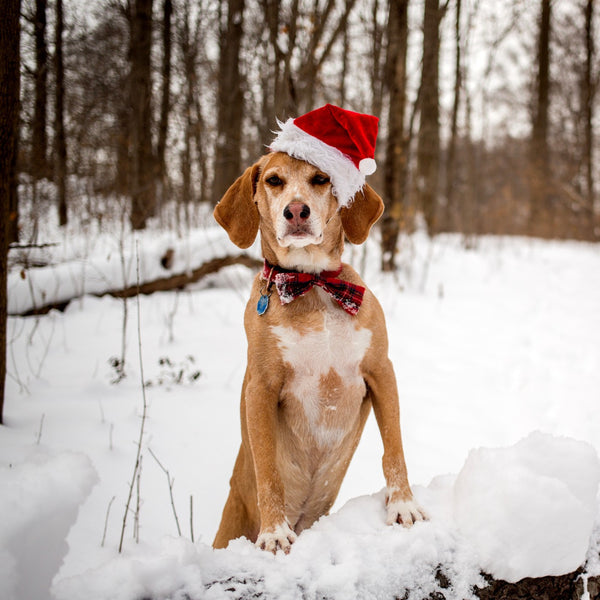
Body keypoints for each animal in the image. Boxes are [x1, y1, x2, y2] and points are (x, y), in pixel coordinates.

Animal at [211, 146, 426, 552]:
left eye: (321, 179)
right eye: (274, 180)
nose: (296, 211)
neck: (312, 284)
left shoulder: (380, 371)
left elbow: (394, 448)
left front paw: (403, 504)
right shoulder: (260, 388)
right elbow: (268, 471)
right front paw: (274, 531)